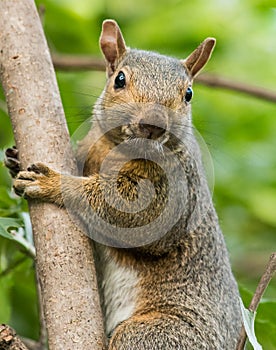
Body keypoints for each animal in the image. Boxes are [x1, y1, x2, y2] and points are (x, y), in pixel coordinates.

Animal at [4, 19, 242, 350]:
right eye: (119, 79)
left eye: (188, 94)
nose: (154, 124)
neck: (114, 148)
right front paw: (14, 159)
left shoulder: (174, 189)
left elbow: (128, 213)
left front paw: (53, 182)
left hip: (158, 337)